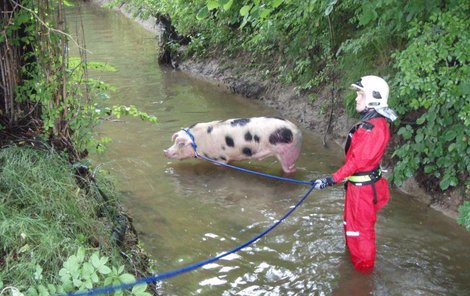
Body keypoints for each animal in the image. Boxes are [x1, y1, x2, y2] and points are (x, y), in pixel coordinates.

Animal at [163, 117, 302, 173]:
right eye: (174, 142)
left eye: (180, 143)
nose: (165, 151)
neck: (198, 141)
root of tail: (296, 130)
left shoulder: (220, 159)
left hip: (288, 154)